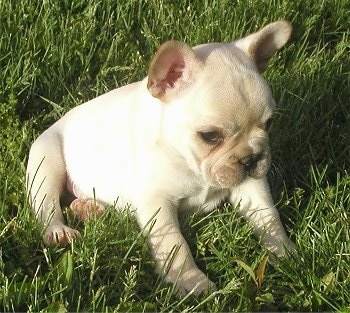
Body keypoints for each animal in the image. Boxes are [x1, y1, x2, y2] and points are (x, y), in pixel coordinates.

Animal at [26, 20, 296, 294]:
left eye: (269, 123)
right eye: (210, 136)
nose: (252, 159)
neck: (188, 161)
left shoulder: (251, 185)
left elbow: (268, 217)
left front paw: (287, 255)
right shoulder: (157, 202)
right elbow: (174, 244)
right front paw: (192, 283)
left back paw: (89, 209)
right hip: (45, 162)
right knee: (47, 207)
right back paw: (60, 231)